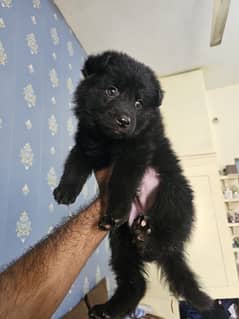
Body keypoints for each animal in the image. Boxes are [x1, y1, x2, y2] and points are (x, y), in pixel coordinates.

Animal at [54, 51, 213, 318]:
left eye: (139, 103)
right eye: (112, 90)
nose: (124, 121)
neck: (107, 140)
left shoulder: (136, 151)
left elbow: (121, 180)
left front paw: (116, 210)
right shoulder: (86, 141)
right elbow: (74, 162)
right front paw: (65, 191)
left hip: (172, 192)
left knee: (166, 241)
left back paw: (149, 241)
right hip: (120, 244)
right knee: (135, 283)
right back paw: (108, 309)